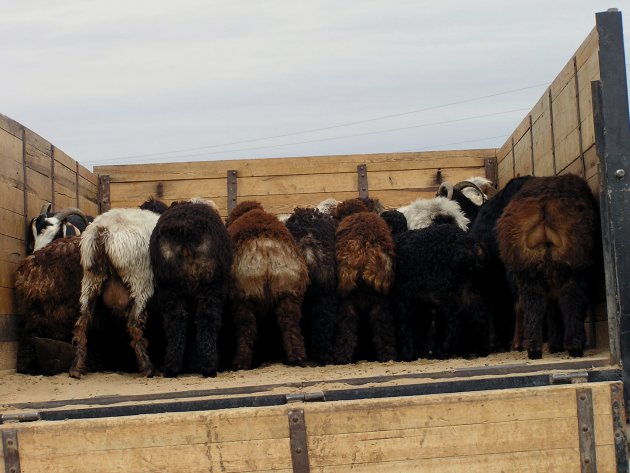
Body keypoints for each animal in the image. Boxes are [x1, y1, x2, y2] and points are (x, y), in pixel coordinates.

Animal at [69, 205, 165, 378]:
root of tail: (103, 232)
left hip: (90, 281)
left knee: (83, 321)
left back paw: (76, 368)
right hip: (140, 281)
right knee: (133, 323)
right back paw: (148, 367)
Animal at [149, 197, 233, 374]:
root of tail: (184, 229)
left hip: (169, 286)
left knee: (176, 320)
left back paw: (172, 366)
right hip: (211, 283)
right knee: (206, 318)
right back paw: (208, 366)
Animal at [228, 199, 310, 368]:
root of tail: (266, 248)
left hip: (244, 294)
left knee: (246, 328)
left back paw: (241, 362)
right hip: (288, 290)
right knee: (290, 324)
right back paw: (297, 357)